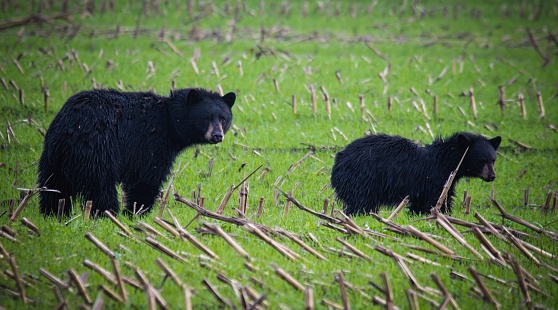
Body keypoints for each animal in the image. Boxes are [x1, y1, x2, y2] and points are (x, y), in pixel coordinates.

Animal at [38, 88, 236, 216]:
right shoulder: (150, 143)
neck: (169, 122)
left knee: (54, 185)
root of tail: (70, 126)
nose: (217, 135)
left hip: (54, 155)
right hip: (96, 148)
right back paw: (108, 213)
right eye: (206, 118)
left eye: (223, 118)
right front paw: (136, 212)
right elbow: (146, 177)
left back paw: (53, 213)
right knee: (99, 184)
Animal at [332, 133, 504, 216]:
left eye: (493, 159)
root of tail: (338, 162)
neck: (446, 161)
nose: (492, 176)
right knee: (361, 203)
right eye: (482, 160)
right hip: (362, 180)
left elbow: (422, 205)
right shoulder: (436, 180)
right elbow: (436, 202)